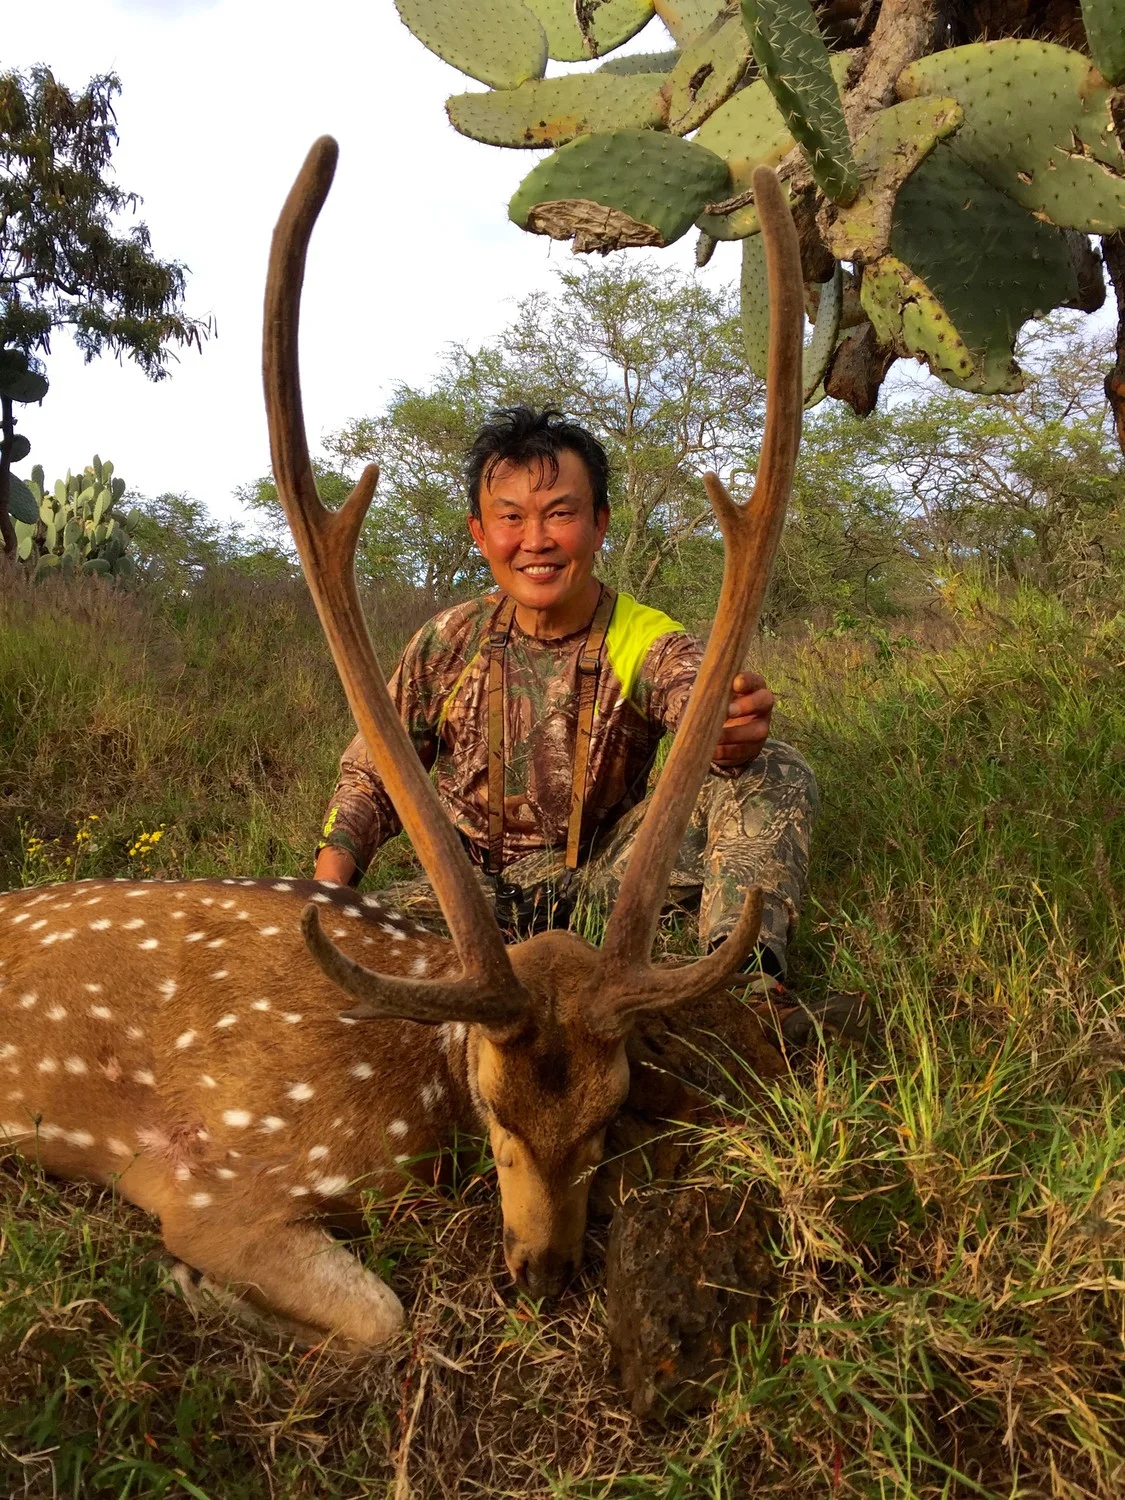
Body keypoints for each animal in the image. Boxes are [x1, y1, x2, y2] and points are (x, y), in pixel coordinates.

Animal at [0, 138, 804, 1352]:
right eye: (494, 1105)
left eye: (611, 1108)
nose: (543, 1271)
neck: (411, 1073)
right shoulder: (210, 1178)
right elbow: (380, 1316)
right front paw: (191, 1287)